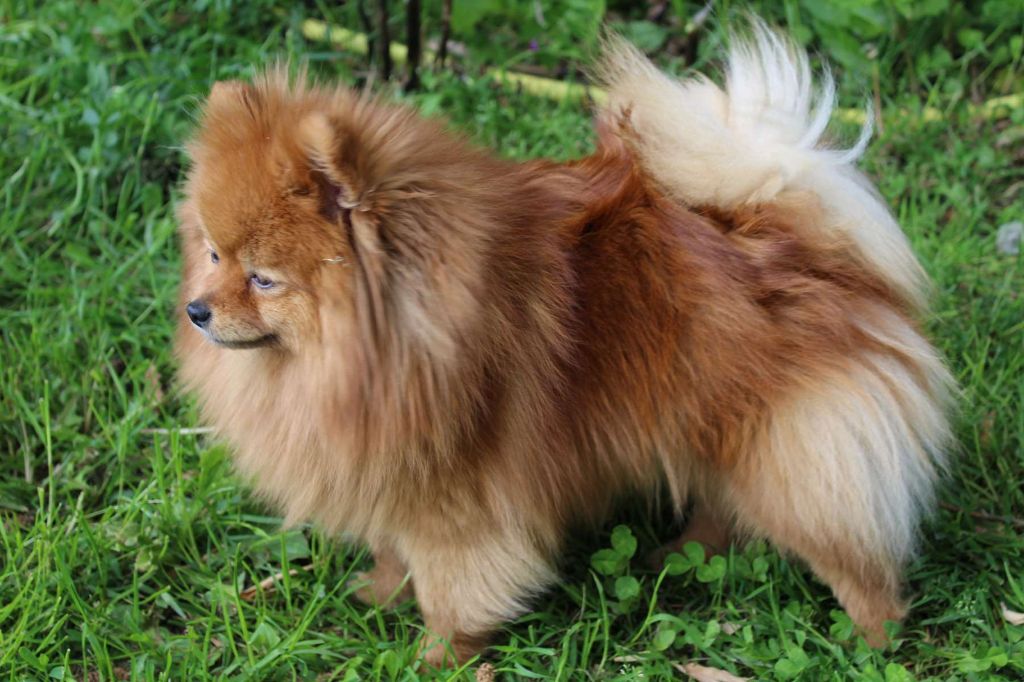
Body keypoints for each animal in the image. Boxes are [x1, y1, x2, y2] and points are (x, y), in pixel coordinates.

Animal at [175, 22, 953, 665]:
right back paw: (682, 556)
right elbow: (397, 556)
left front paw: (435, 658)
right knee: (721, 506)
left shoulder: (459, 505)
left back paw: (872, 640)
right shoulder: (392, 479)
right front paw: (379, 591)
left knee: (852, 555)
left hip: (787, 453)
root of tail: (789, 229)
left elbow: (452, 591)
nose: (196, 311)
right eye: (213, 254)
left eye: (264, 279)